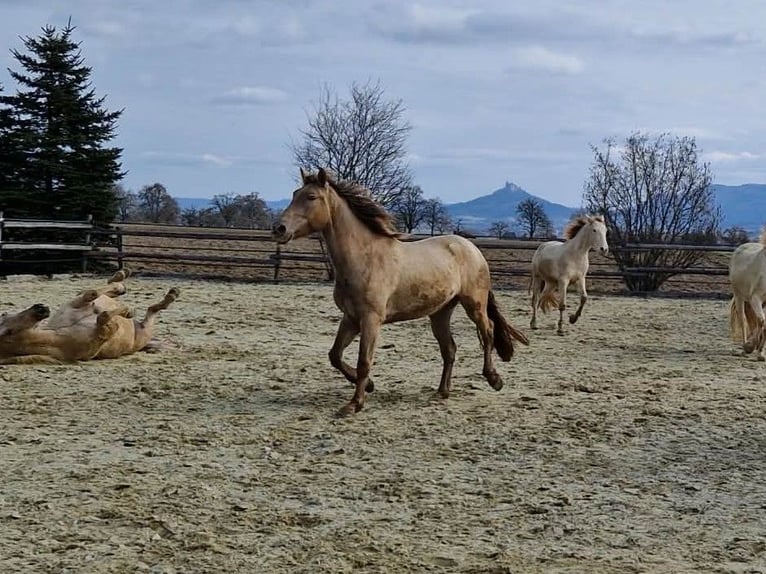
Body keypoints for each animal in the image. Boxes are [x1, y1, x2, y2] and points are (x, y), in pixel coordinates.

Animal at [272, 167, 529, 416]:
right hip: (440, 312)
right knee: (449, 349)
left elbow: (364, 361)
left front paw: (354, 404)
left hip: (474, 304)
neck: (364, 258)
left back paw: (494, 379)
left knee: (488, 332)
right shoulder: (351, 318)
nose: (279, 229)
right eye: (295, 194)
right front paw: (369, 386)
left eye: (311, 197)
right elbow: (335, 355)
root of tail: (472, 248)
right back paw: (442, 391)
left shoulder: (371, 319)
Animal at [728, 229, 766, 360]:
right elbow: (762, 322)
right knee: (743, 320)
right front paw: (755, 349)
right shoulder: (755, 298)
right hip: (739, 297)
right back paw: (746, 347)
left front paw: (760, 351)